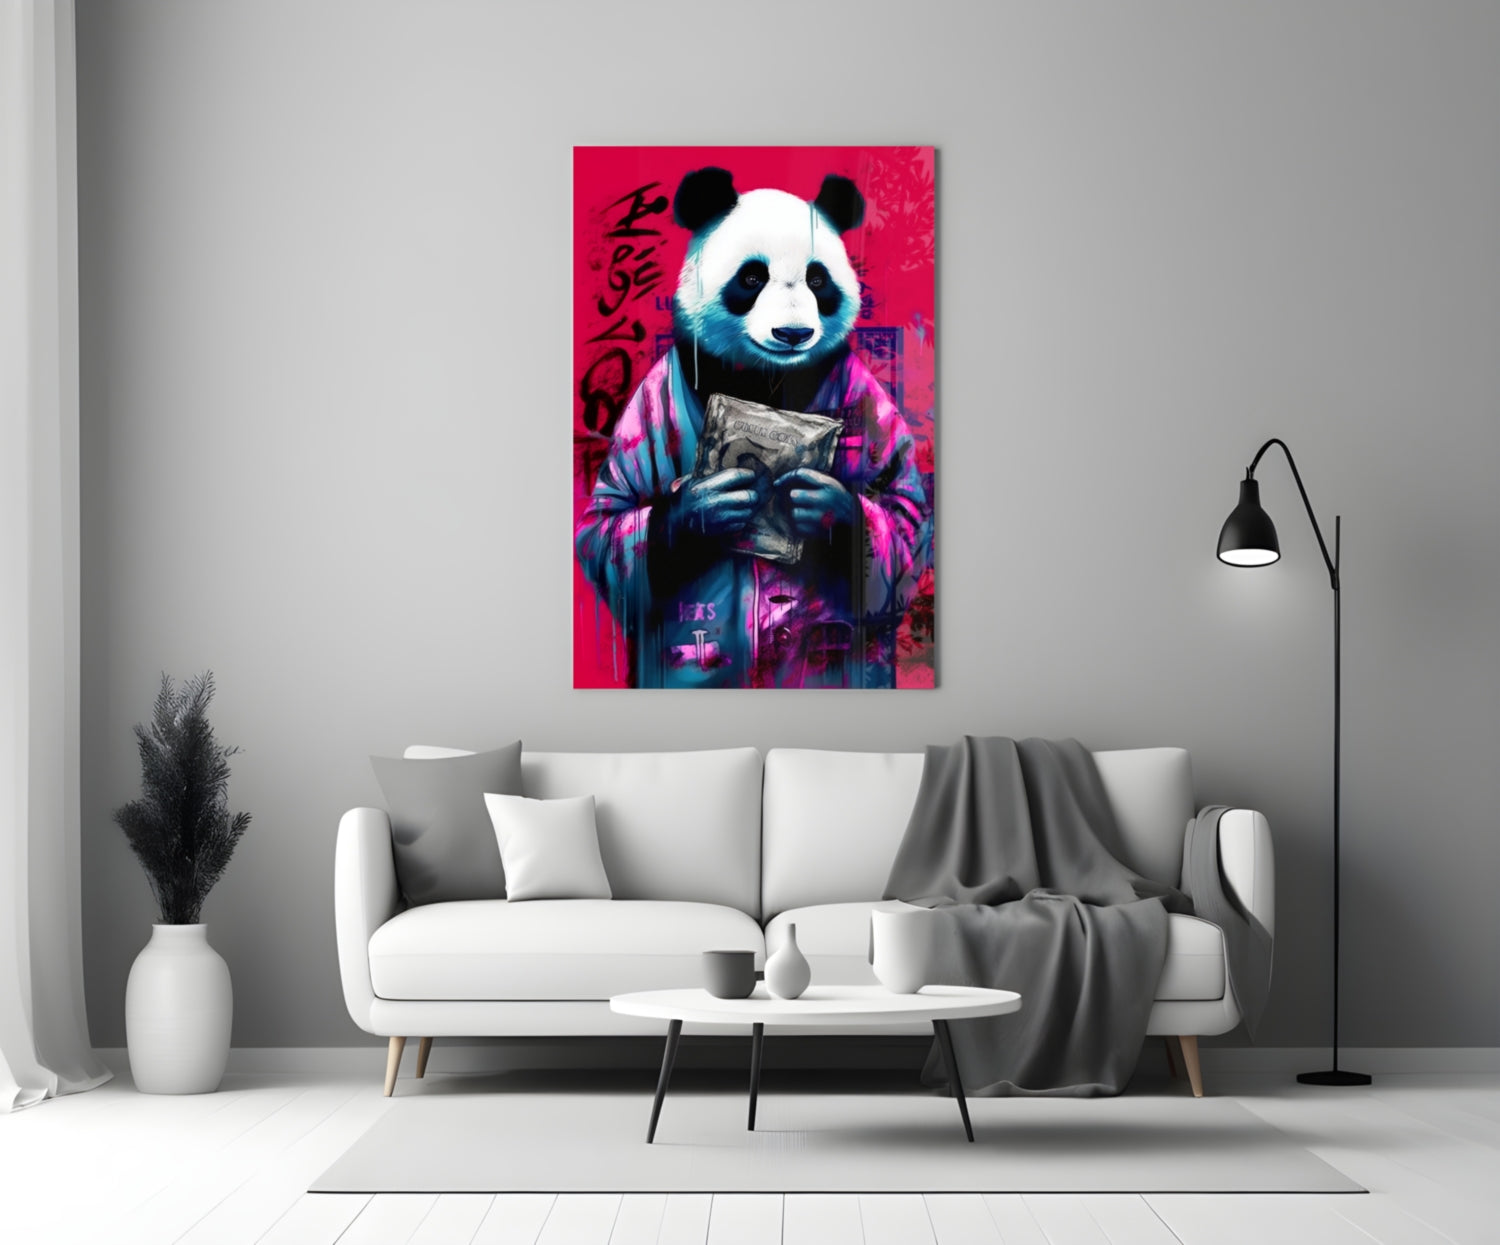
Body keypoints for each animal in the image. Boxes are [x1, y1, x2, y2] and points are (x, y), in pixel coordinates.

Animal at [576, 167, 930, 689]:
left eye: (818, 279)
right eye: (751, 277)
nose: (793, 334)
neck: (765, 382)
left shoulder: (866, 397)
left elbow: (903, 515)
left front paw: (824, 505)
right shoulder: (654, 398)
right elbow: (610, 523)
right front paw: (705, 507)